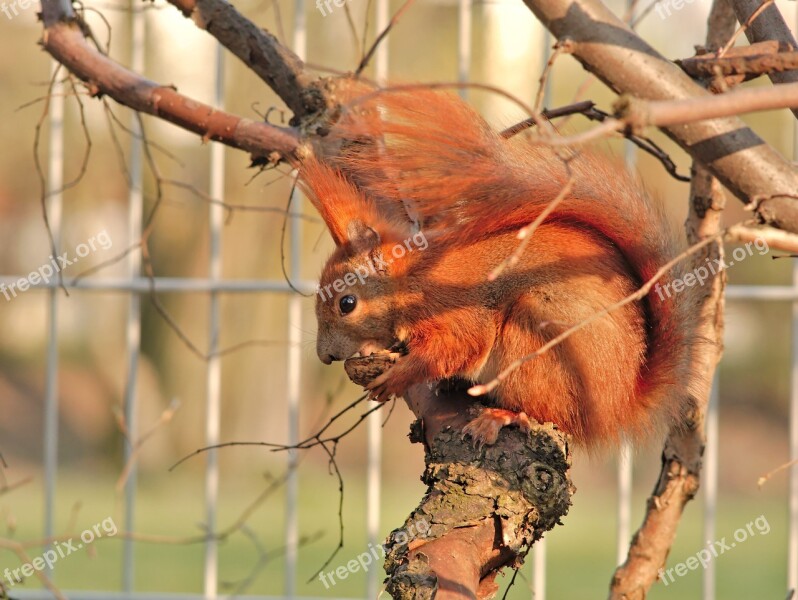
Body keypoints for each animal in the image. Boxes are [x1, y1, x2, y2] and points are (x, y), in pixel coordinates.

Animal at [300, 86, 700, 448]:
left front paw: (399, 376)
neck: (411, 281)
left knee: (545, 413)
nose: (325, 356)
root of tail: (617, 407)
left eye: (347, 303)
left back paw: (500, 416)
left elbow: (455, 348)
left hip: (536, 338)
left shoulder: (455, 313)